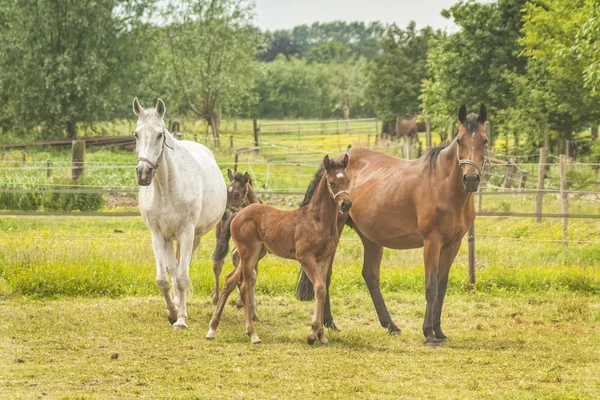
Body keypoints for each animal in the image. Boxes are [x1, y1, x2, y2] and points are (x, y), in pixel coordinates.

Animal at [134, 98, 227, 330]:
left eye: (160, 134)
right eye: (136, 134)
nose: (143, 173)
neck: (167, 187)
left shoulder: (186, 233)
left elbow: (183, 278)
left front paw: (182, 319)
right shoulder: (158, 235)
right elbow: (164, 279)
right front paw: (172, 311)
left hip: (193, 237)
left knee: (181, 270)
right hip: (169, 239)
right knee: (173, 270)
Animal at [298, 104, 490, 346]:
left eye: (484, 140)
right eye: (460, 140)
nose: (471, 179)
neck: (444, 185)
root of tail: (333, 163)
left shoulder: (453, 244)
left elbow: (442, 286)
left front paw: (439, 331)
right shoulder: (432, 241)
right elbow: (431, 286)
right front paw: (428, 333)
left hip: (370, 237)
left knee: (370, 275)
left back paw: (390, 325)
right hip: (336, 233)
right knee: (326, 275)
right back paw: (330, 323)